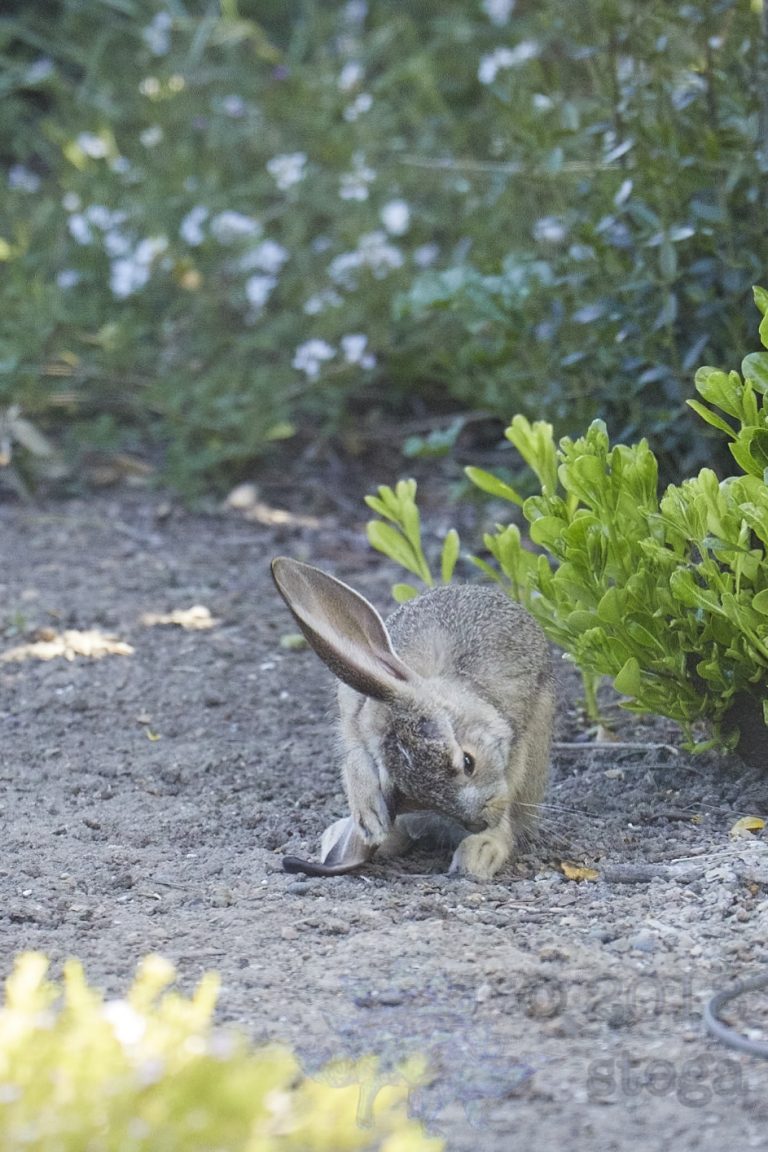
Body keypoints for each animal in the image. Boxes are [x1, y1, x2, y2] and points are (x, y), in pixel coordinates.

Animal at [271, 557, 554, 879]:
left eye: (468, 762)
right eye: (416, 797)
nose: (477, 823)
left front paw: (482, 844)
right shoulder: (353, 717)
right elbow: (355, 760)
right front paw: (369, 818)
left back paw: (478, 855)